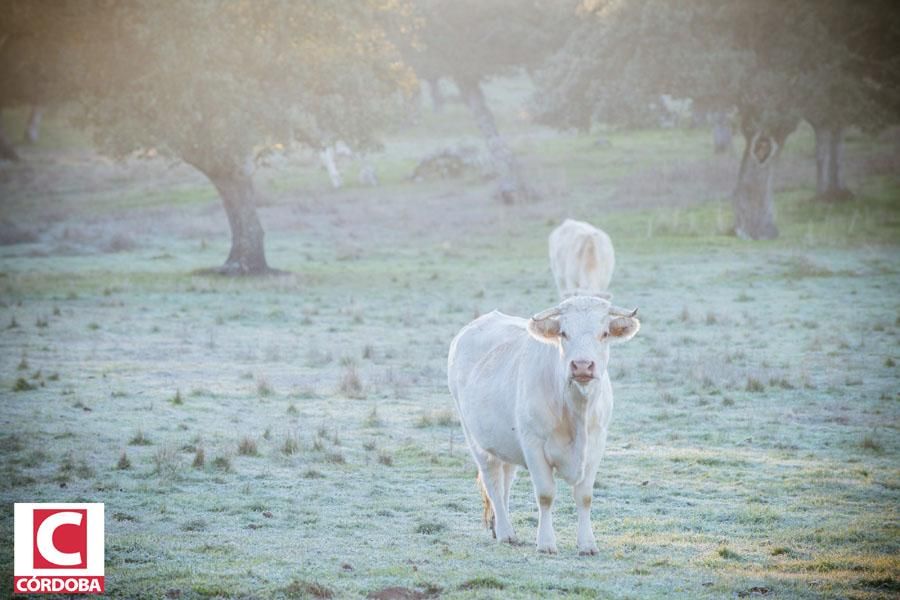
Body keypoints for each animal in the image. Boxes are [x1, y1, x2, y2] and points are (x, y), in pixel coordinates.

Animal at [446, 296, 636, 552]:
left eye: (605, 333)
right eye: (563, 333)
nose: (582, 365)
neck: (576, 410)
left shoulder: (596, 445)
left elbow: (585, 496)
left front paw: (587, 543)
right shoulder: (533, 445)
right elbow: (546, 495)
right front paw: (546, 542)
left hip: (505, 442)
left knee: (505, 482)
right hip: (475, 439)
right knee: (493, 481)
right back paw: (505, 532)